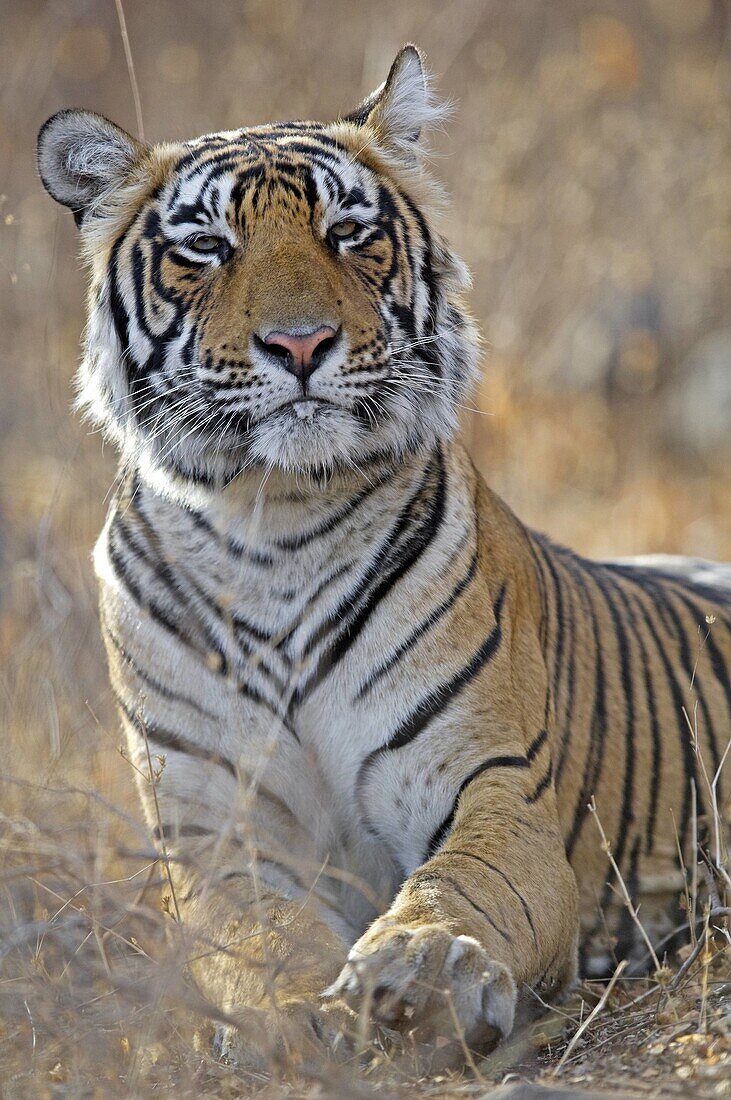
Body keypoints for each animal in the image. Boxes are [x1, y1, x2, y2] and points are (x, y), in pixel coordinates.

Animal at [38, 47, 729, 1069]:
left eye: (347, 233)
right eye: (207, 247)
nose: (299, 344)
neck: (273, 527)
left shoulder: (494, 782)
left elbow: (463, 887)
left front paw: (422, 972)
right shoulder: (217, 831)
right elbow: (254, 934)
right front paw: (290, 1012)